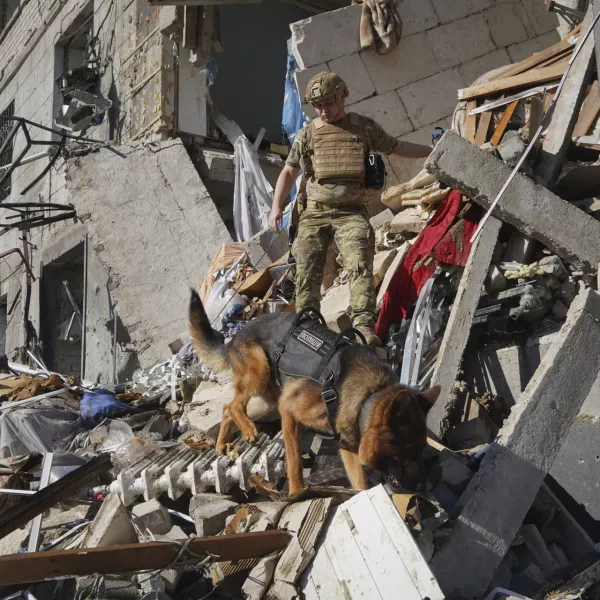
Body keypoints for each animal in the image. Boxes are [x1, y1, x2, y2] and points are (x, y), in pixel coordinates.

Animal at [189, 288, 440, 494]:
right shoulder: (289, 412)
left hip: (267, 402)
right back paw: (248, 430)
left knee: (226, 408)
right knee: (234, 405)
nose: (423, 489)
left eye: (421, 450)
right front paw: (296, 493)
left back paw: (221, 443)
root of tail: (232, 339)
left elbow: (360, 483)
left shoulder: (347, 445)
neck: (368, 397)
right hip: (260, 374)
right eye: (408, 450)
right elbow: (294, 462)